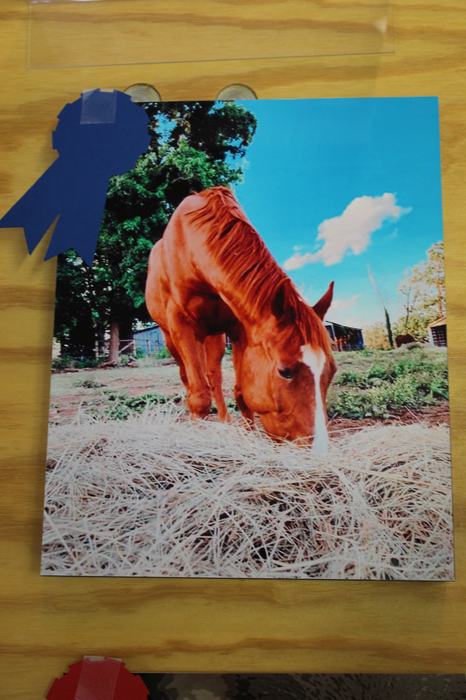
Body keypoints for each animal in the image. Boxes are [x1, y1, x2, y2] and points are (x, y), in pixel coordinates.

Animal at [145, 187, 336, 452]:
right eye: (285, 372)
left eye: (332, 371)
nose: (318, 449)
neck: (192, 250)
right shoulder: (182, 325)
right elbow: (199, 396)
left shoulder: (238, 328)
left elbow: (240, 393)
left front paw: (248, 434)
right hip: (171, 338)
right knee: (188, 378)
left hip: (213, 336)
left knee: (214, 376)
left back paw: (224, 421)